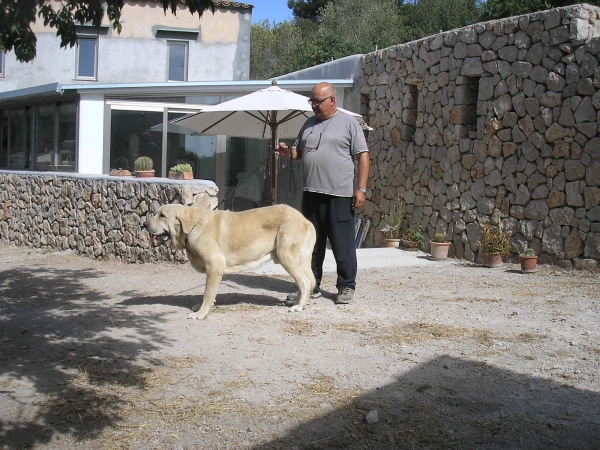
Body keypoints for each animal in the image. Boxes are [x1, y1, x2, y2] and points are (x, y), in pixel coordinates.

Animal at [145, 204, 316, 320]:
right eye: (156, 213)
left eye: (162, 215)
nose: (144, 224)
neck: (194, 225)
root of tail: (306, 220)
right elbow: (208, 294)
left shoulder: (214, 267)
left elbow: (207, 293)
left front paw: (201, 313)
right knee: (302, 282)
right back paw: (296, 300)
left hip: (287, 257)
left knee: (305, 282)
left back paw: (299, 306)